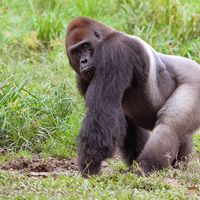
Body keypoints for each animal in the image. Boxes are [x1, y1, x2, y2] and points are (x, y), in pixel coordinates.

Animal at [65, 17, 200, 177]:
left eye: (85, 46)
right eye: (76, 51)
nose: (83, 61)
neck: (106, 36)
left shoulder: (115, 50)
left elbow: (103, 110)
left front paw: (89, 164)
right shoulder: (83, 77)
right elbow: (123, 120)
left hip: (195, 80)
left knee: (169, 125)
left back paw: (145, 166)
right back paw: (176, 166)